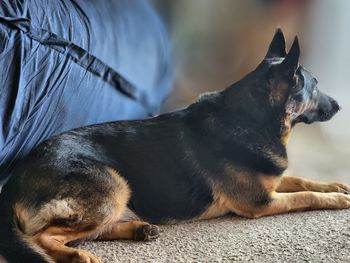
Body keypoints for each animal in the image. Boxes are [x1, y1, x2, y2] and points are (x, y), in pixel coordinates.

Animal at [0, 29, 350, 262]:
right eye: (315, 86)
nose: (339, 105)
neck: (252, 118)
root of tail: (13, 180)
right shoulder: (260, 202)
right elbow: (305, 196)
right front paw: (336, 199)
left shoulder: (271, 183)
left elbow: (302, 179)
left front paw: (336, 185)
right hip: (114, 184)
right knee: (42, 236)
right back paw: (76, 256)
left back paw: (141, 229)